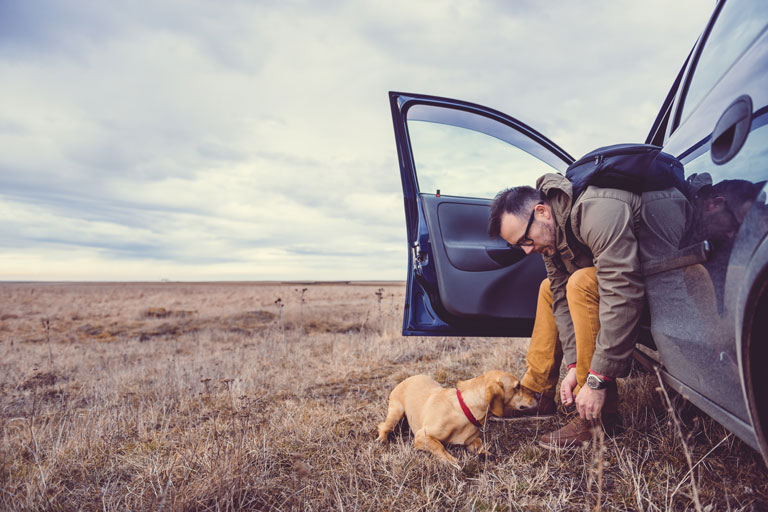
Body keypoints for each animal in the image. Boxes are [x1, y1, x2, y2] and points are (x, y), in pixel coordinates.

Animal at [376, 370, 536, 462]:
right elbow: (439, 446)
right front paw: (451, 461)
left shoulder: (472, 440)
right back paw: (381, 439)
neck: (465, 408)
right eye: (518, 386)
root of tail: (406, 379)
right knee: (383, 426)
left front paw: (485, 453)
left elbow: (478, 444)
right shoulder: (422, 436)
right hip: (396, 414)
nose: (538, 396)